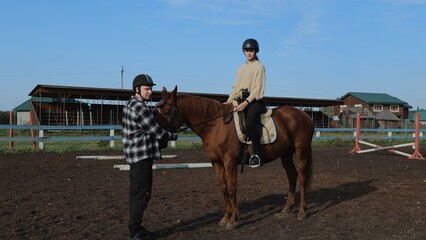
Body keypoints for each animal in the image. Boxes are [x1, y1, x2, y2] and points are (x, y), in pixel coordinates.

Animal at [155, 86, 314, 229]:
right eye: (157, 111)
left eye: (166, 112)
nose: (159, 140)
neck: (215, 125)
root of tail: (305, 115)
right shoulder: (216, 162)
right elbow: (224, 188)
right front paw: (226, 218)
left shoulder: (229, 161)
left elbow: (232, 188)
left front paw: (233, 220)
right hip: (285, 154)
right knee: (292, 176)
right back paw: (287, 209)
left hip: (301, 151)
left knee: (302, 178)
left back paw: (301, 212)